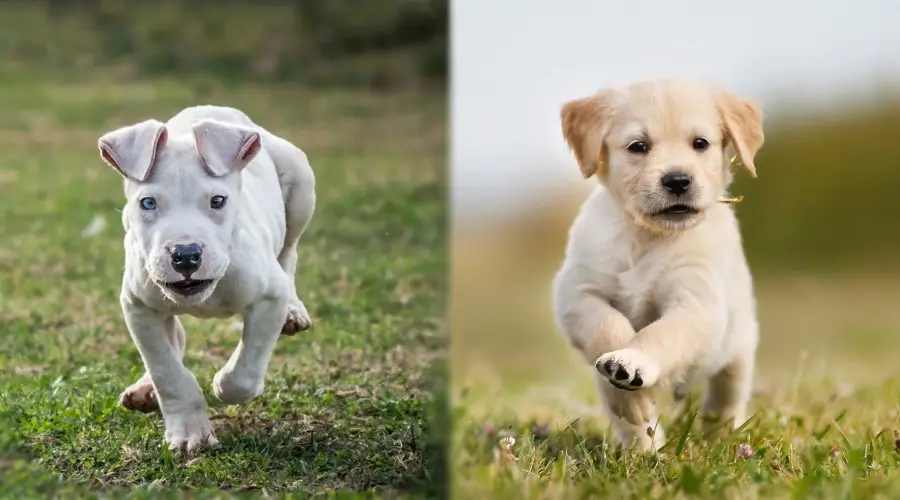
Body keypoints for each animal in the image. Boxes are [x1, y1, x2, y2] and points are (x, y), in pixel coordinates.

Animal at [97, 104, 316, 454]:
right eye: (147, 203)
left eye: (218, 201)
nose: (186, 254)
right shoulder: (138, 306)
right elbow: (167, 372)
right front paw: (189, 433)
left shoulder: (269, 297)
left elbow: (245, 373)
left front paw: (222, 385)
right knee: (174, 339)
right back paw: (145, 389)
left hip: (299, 180)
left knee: (289, 251)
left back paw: (293, 312)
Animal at [552, 78, 764, 450]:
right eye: (638, 146)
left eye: (700, 143)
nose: (678, 180)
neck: (648, 238)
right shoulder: (577, 293)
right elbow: (609, 326)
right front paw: (629, 391)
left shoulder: (697, 304)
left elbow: (661, 335)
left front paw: (634, 360)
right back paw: (644, 449)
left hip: (738, 351)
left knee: (725, 401)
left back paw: (722, 441)